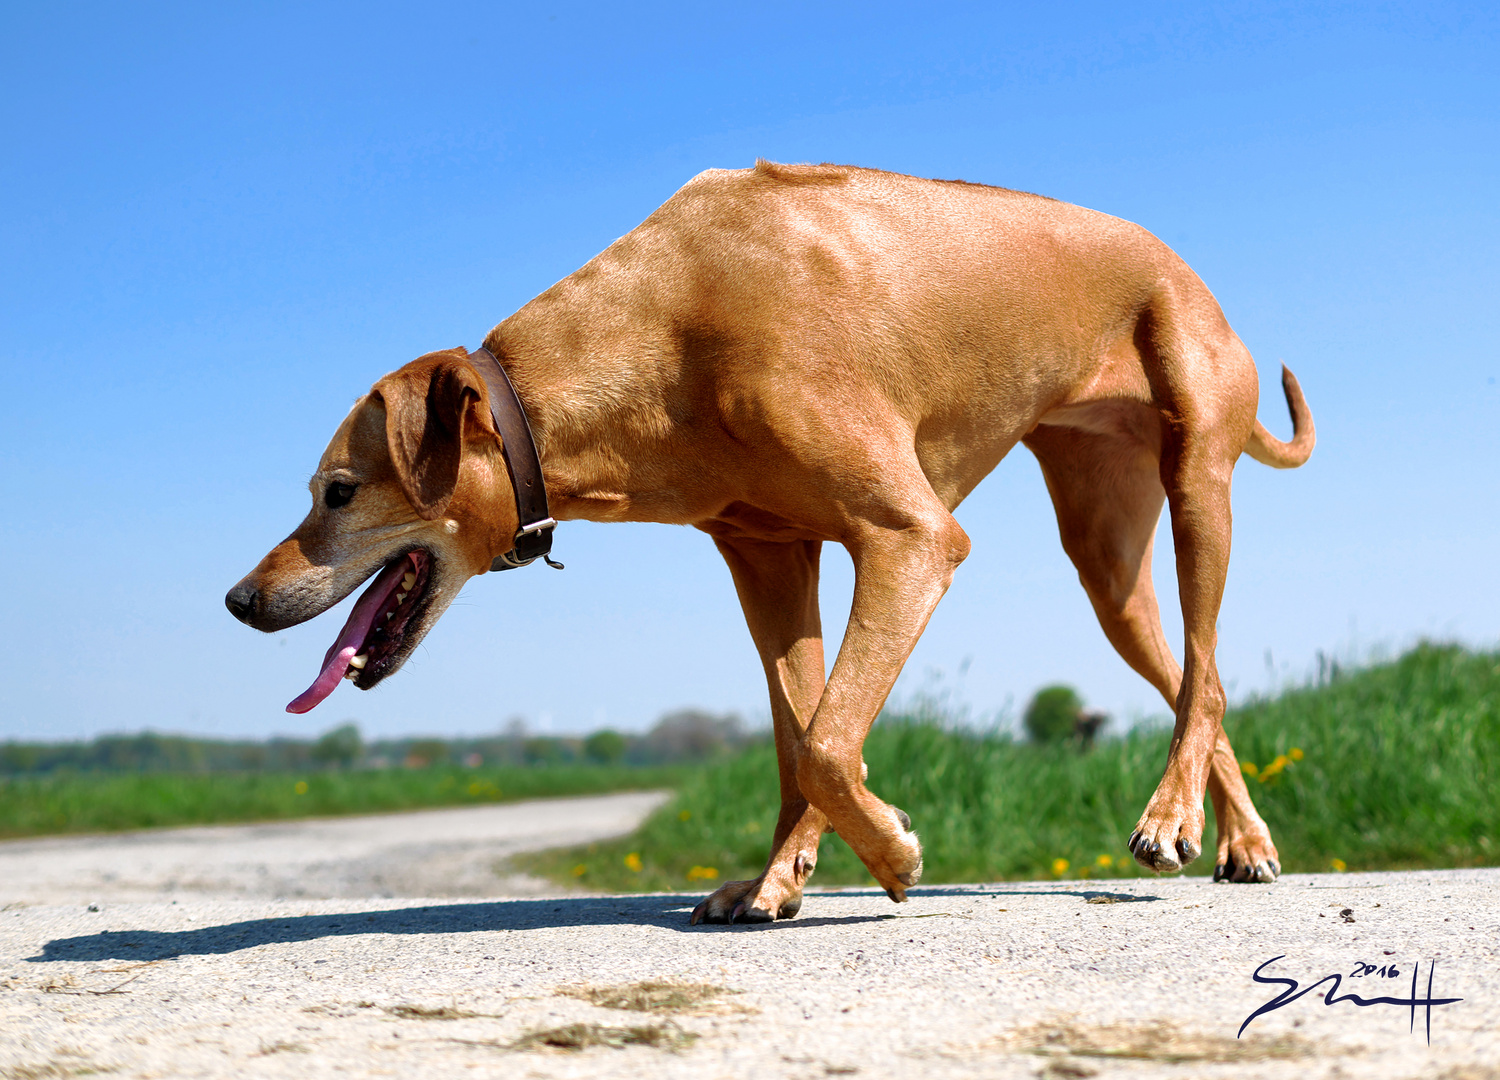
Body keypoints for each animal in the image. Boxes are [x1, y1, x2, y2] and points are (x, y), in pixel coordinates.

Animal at [225, 158, 1314, 918]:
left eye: (336, 491)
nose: (239, 600)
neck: (668, 327)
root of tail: (1180, 264)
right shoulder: (768, 560)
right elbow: (800, 736)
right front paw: (776, 880)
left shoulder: (911, 539)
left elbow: (830, 741)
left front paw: (893, 852)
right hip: (1106, 560)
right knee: (1194, 680)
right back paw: (1242, 841)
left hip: (1196, 484)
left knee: (1207, 672)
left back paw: (1173, 821)